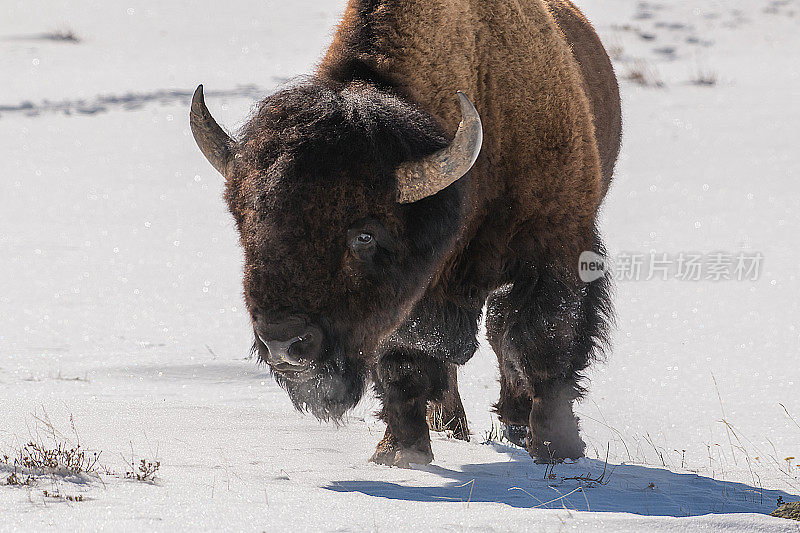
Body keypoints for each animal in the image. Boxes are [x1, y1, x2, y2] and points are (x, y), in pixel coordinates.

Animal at [191, 0, 620, 466]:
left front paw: (556, 450)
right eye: (245, 223)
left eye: (364, 236)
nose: (283, 344)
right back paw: (450, 425)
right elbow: (403, 362)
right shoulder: (402, 305)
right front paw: (401, 452)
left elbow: (540, 343)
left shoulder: (556, 250)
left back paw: (513, 420)